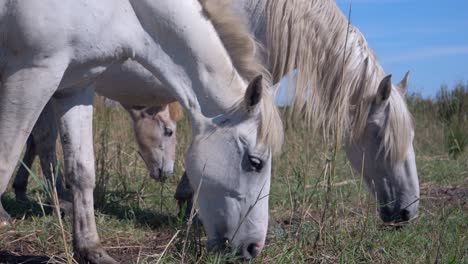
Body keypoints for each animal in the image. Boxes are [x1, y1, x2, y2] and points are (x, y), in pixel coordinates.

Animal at [0, 0, 282, 260]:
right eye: (255, 162)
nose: (254, 247)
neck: (120, 10)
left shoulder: (76, 87)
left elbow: (82, 171)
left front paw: (91, 250)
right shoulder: (34, 75)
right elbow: (7, 160)